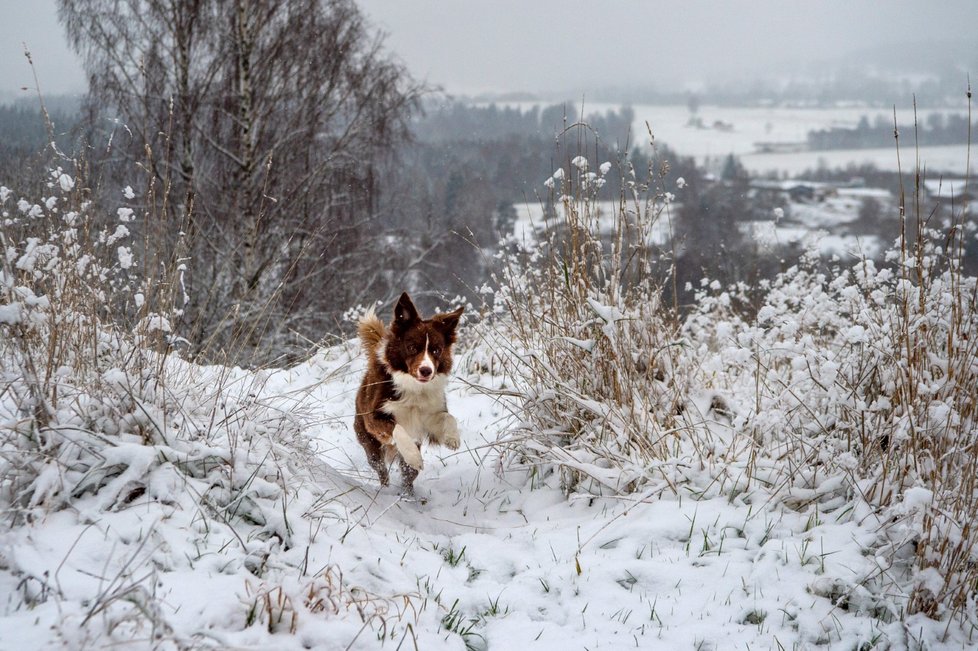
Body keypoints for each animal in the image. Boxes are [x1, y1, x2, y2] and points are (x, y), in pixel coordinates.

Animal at [352, 292, 464, 492]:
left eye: (436, 350)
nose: (426, 371)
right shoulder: (374, 418)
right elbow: (398, 428)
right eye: (412, 347)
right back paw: (386, 488)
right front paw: (413, 456)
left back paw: (407, 493)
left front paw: (452, 437)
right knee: (381, 467)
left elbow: (447, 416)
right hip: (369, 442)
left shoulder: (428, 416)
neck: (414, 387)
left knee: (408, 474)